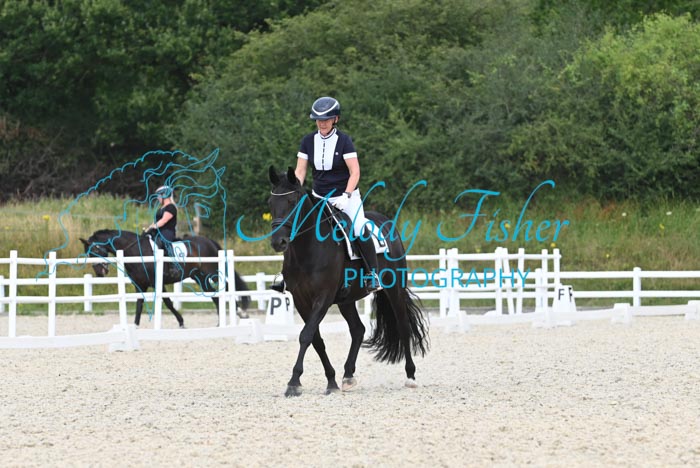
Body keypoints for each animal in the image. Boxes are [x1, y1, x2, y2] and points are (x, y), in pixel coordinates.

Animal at [80, 229, 250, 327]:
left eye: (95, 250)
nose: (100, 272)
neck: (136, 251)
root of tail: (209, 241)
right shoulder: (140, 284)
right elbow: (139, 304)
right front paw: (135, 326)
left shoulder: (158, 282)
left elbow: (167, 302)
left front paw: (181, 322)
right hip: (199, 277)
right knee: (215, 296)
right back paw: (220, 322)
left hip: (211, 273)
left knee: (226, 289)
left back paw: (239, 313)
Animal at [267, 166, 429, 397]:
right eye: (271, 203)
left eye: (292, 201)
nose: (278, 242)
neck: (308, 249)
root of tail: (385, 221)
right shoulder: (301, 300)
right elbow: (316, 339)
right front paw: (331, 381)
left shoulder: (323, 297)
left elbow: (306, 335)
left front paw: (294, 381)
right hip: (347, 299)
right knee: (358, 330)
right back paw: (348, 375)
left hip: (394, 289)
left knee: (403, 325)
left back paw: (410, 376)